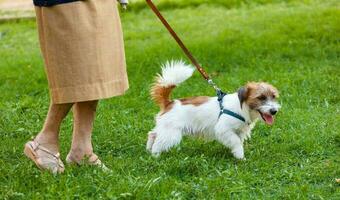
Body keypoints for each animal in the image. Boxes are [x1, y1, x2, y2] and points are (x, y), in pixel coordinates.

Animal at [145, 61, 280, 159]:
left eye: (273, 96)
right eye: (261, 97)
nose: (274, 111)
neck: (243, 108)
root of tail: (170, 103)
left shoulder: (239, 131)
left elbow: (238, 142)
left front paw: (236, 154)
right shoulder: (223, 129)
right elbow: (236, 142)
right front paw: (241, 158)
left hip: (165, 128)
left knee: (152, 134)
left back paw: (148, 150)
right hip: (171, 133)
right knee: (158, 143)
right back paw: (155, 156)